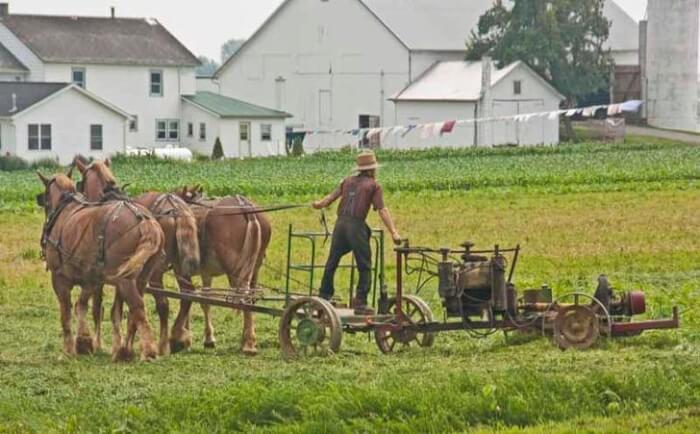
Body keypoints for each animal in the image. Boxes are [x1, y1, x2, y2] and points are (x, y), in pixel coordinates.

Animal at [37, 171, 165, 362]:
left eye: (45, 198)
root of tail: (144, 222)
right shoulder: (92, 279)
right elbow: (83, 305)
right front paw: (84, 341)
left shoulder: (59, 279)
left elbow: (66, 312)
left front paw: (69, 348)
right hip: (141, 278)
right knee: (130, 312)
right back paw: (125, 351)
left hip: (125, 280)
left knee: (137, 307)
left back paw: (147, 351)